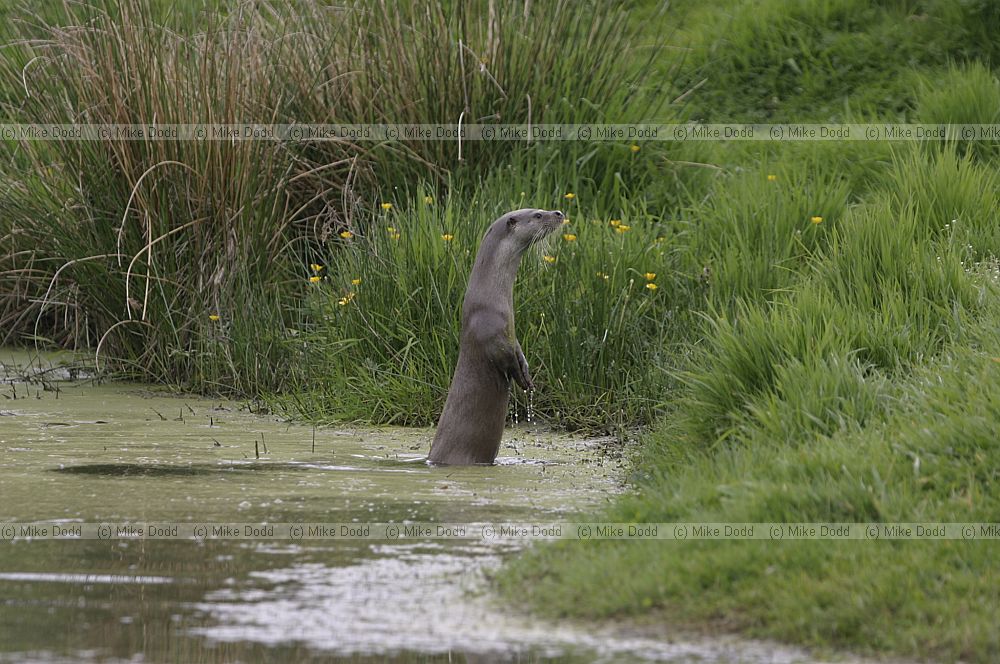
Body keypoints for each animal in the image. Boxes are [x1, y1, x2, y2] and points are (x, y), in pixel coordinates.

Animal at [428, 208, 565, 465]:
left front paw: (527, 375)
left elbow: (519, 352)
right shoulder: (491, 333)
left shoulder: (512, 335)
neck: (491, 301)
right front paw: (522, 380)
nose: (559, 212)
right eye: (538, 215)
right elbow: (504, 359)